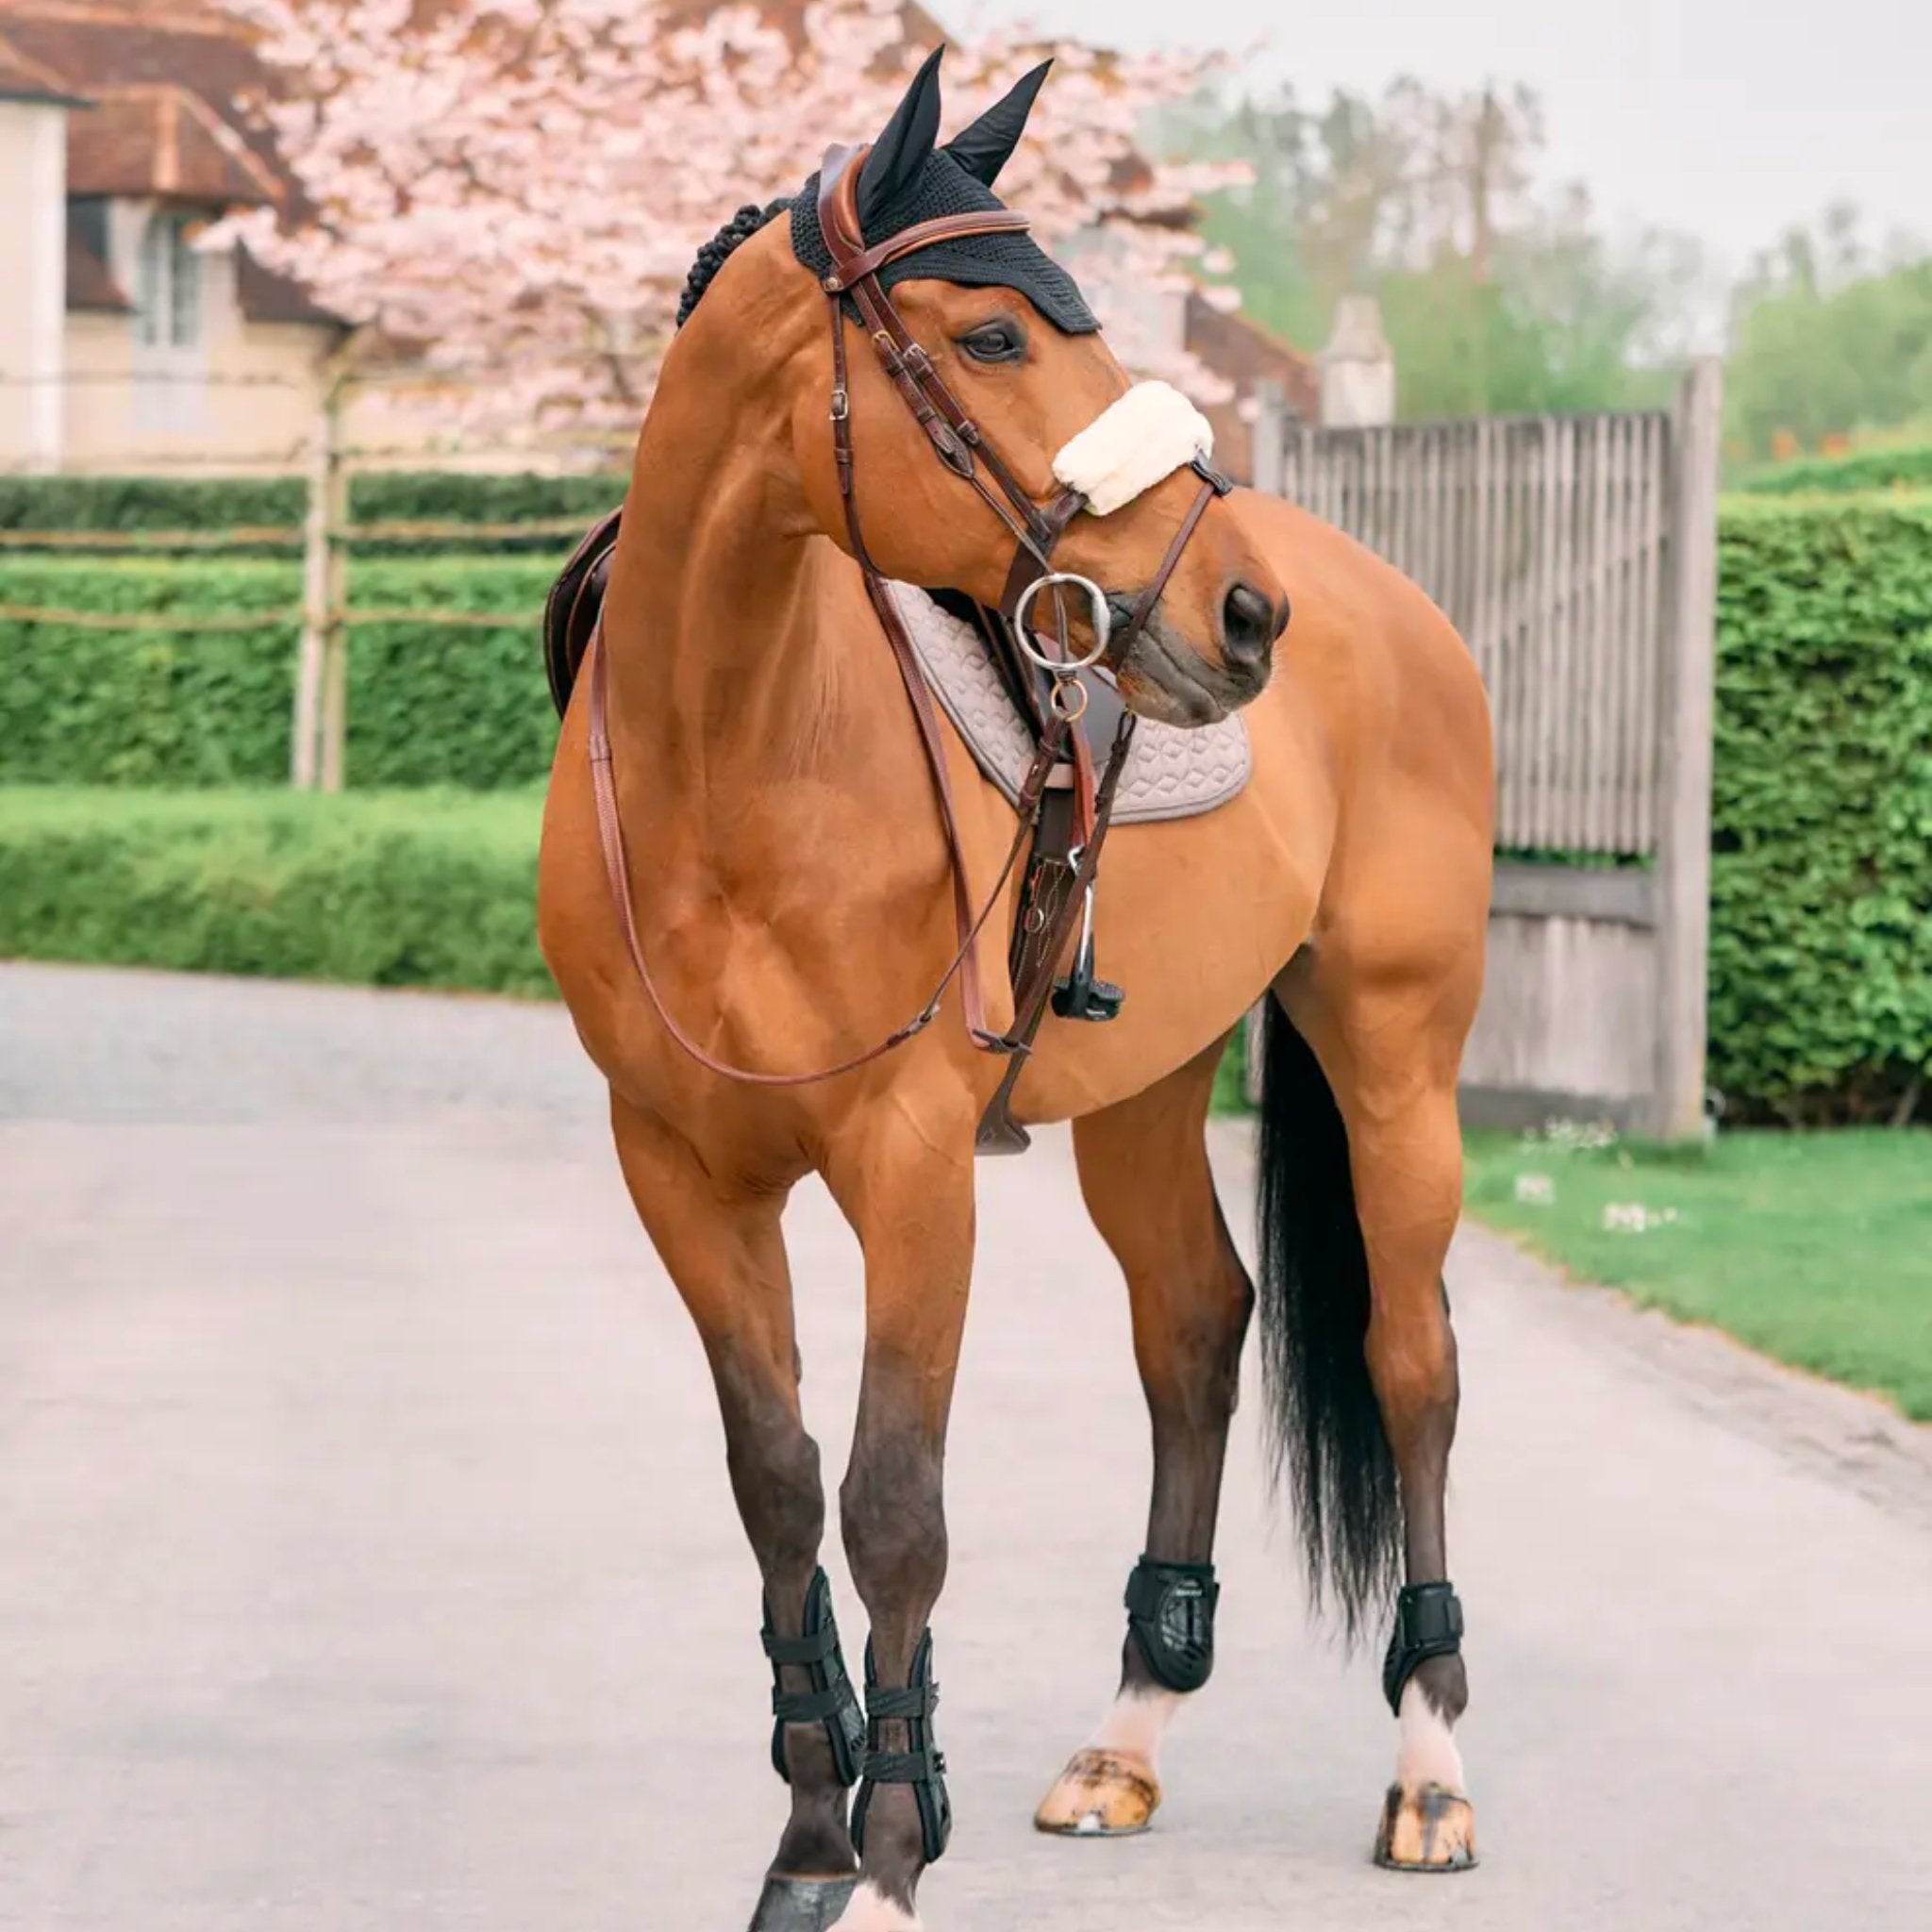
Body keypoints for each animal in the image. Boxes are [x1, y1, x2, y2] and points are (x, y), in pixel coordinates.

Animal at [541, 45, 1491, 1932]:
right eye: (987, 335)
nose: (1241, 612)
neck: (728, 758)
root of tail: (1383, 604)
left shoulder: (911, 1169)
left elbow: (894, 1503)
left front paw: (894, 1856)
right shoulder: (680, 1173)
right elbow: (780, 1490)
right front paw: (808, 1838)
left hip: (1394, 1062)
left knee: (1409, 1361)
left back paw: (1427, 1766)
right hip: (1145, 1094)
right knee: (1194, 1326)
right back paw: (1124, 1740)